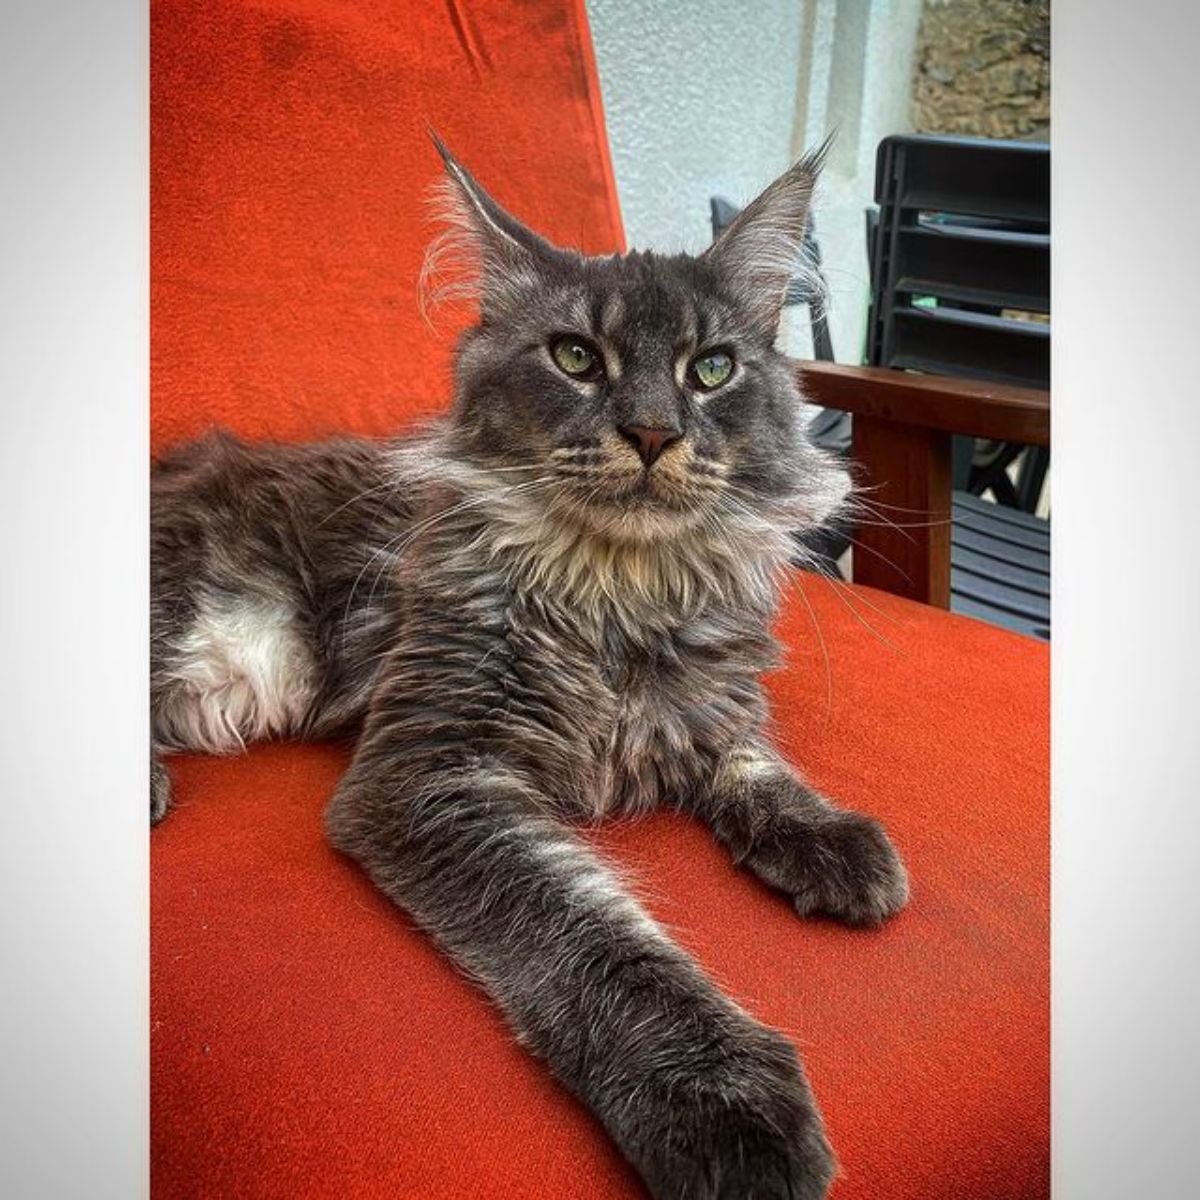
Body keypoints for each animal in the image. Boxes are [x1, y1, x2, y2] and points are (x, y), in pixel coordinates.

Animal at [152, 140, 907, 1200]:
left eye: (712, 369)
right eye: (576, 358)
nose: (652, 431)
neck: (621, 590)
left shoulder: (709, 705)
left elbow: (753, 761)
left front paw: (833, 842)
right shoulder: (430, 775)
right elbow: (591, 930)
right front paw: (725, 1102)